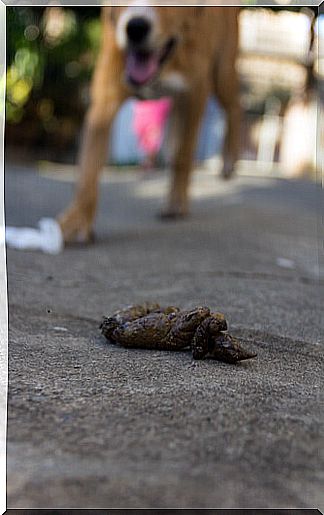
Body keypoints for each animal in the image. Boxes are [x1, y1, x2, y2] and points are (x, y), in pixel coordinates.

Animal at [58, 5, 240, 244]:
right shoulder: (105, 100)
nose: (136, 28)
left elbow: (184, 156)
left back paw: (228, 161)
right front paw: (77, 220)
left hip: (223, 71)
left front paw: (176, 203)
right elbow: (89, 166)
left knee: (235, 107)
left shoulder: (195, 92)